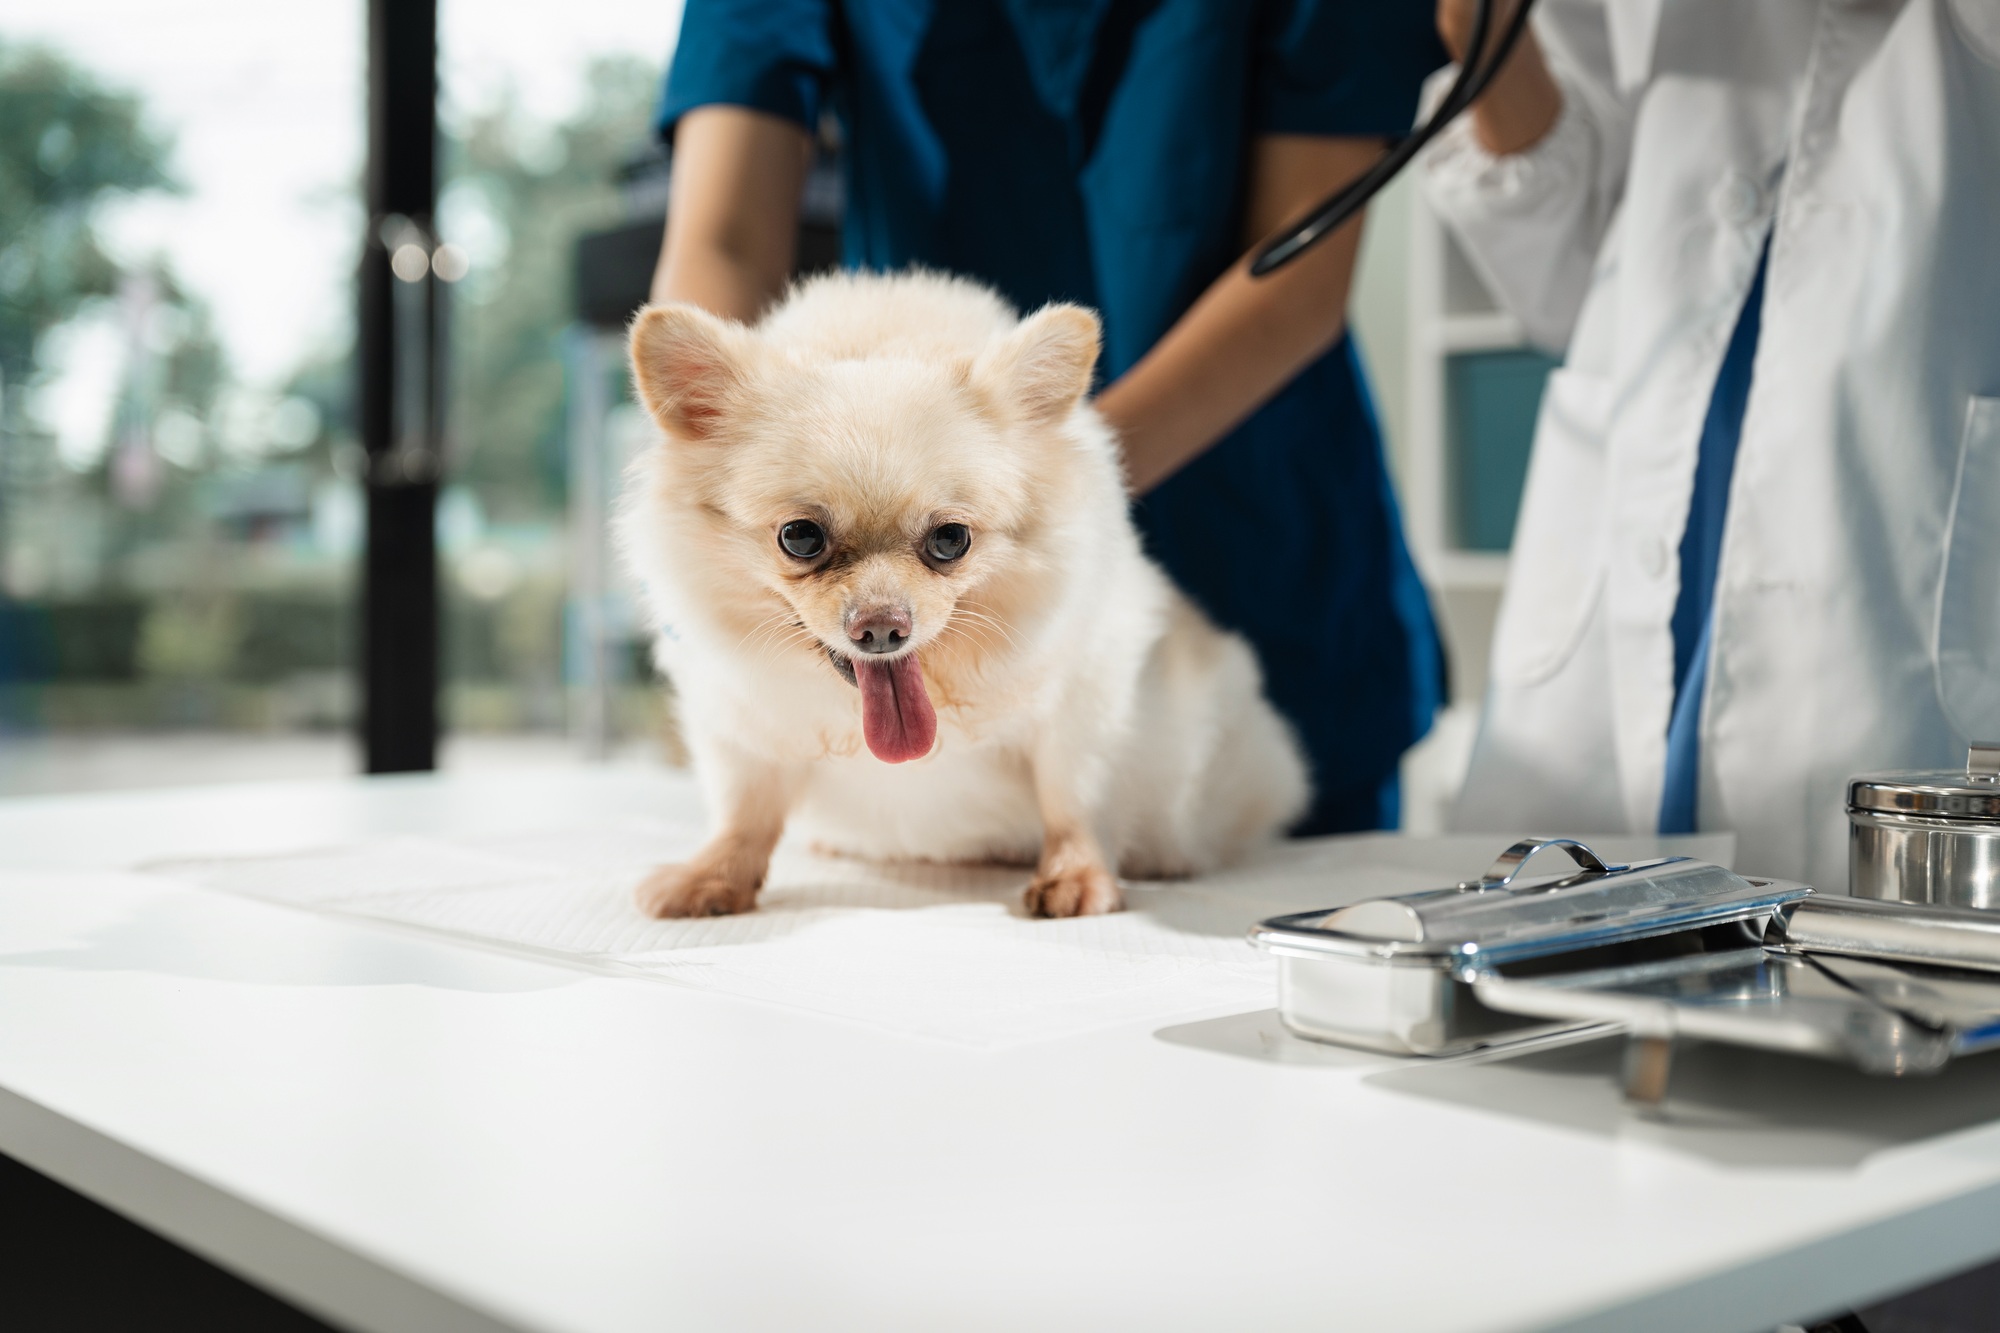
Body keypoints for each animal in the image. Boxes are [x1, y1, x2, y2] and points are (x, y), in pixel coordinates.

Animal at [624, 270, 1312, 912]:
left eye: (950, 540)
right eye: (800, 537)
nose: (882, 627)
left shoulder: (1087, 699)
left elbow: (1074, 795)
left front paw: (1077, 875)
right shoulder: (740, 725)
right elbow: (745, 808)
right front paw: (714, 876)